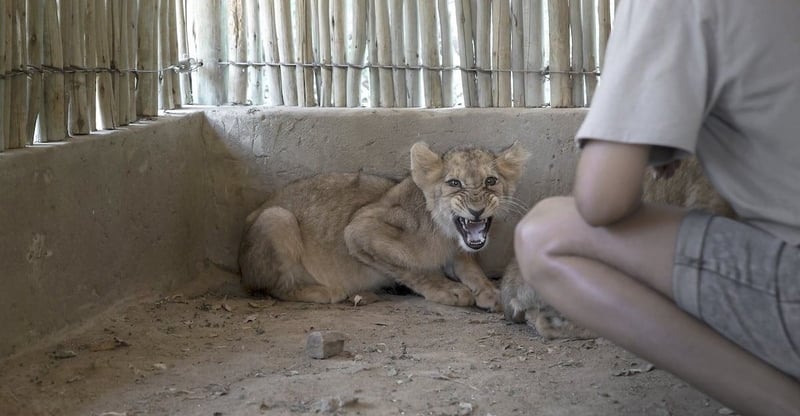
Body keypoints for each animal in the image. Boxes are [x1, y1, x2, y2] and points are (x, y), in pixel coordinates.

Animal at [238, 141, 530, 311]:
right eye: (454, 183)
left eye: (491, 181)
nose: (476, 210)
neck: (445, 233)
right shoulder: (359, 229)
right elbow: (412, 268)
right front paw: (449, 290)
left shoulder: (458, 251)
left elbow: (472, 270)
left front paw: (490, 291)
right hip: (277, 217)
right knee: (273, 288)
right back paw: (326, 291)